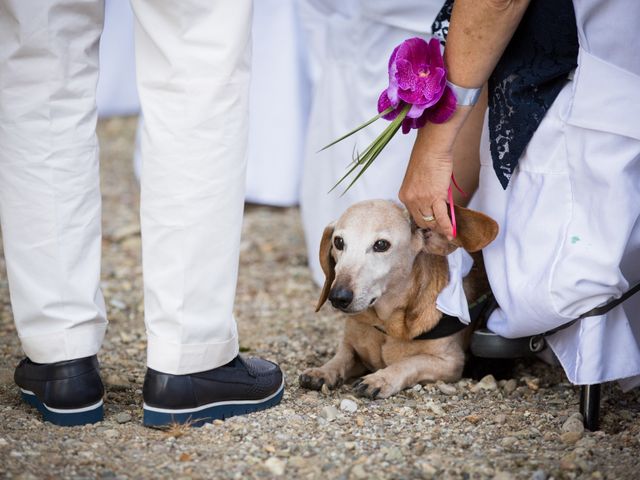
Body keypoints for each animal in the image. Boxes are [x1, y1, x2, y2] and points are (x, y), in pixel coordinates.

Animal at [298, 199, 498, 398]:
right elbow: (341, 358)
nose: (338, 297)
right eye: (338, 242)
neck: (386, 325)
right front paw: (323, 371)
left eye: (381, 245)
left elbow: (409, 363)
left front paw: (380, 379)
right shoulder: (350, 347)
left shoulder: (451, 362)